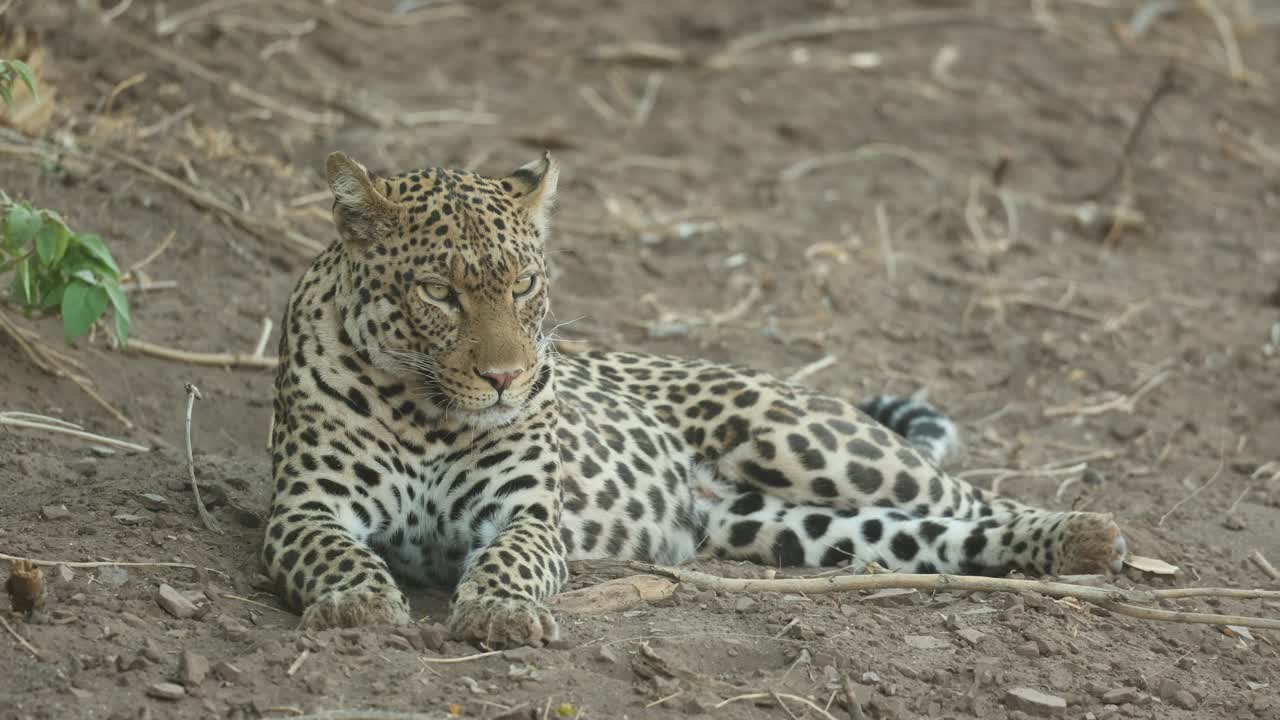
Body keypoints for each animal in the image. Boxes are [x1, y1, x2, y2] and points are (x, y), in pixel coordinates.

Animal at [262, 150, 1128, 648]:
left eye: (525, 284)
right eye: (439, 292)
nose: (510, 377)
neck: (427, 415)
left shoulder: (524, 513)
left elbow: (513, 556)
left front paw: (501, 612)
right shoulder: (304, 508)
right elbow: (334, 550)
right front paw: (356, 604)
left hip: (803, 438)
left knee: (971, 497)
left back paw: (1091, 533)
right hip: (779, 526)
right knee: (927, 536)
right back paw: (1072, 547)